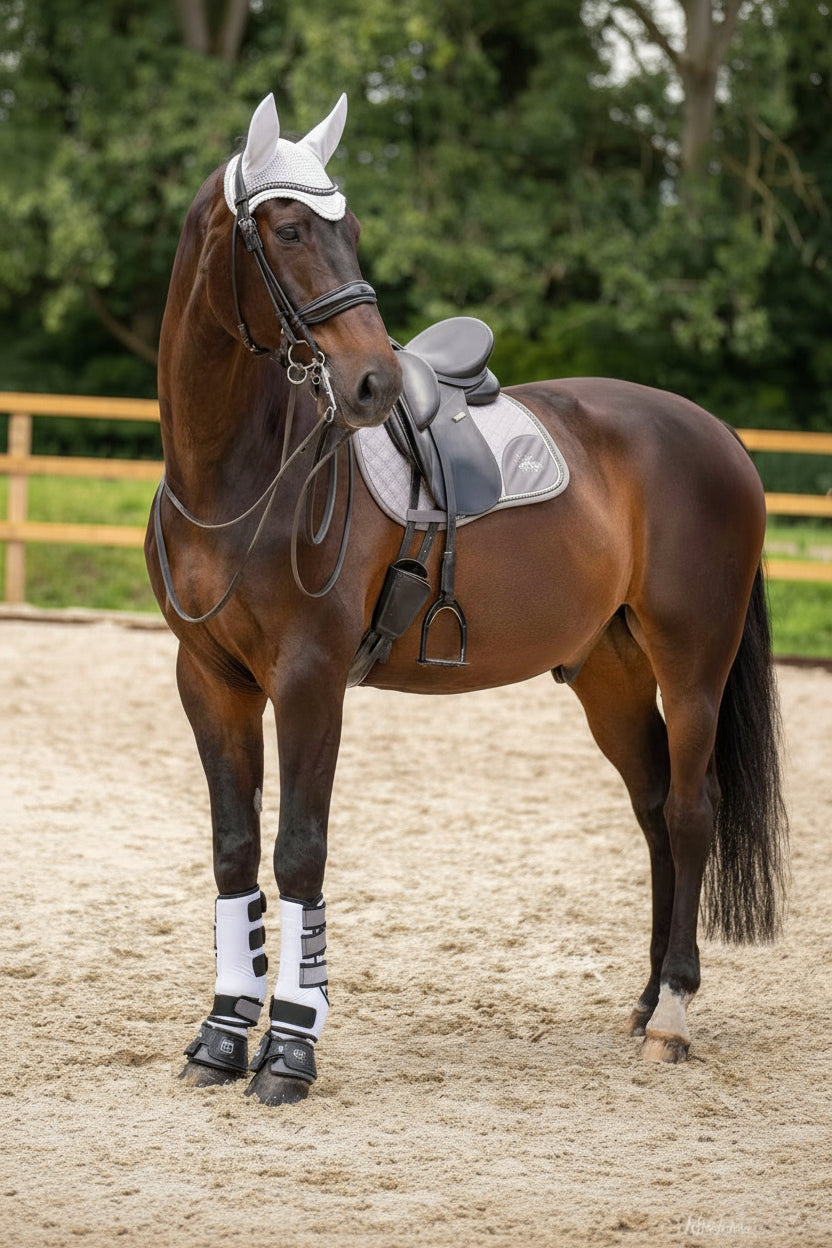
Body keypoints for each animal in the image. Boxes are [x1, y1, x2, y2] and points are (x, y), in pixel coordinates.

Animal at [145, 91, 788, 1107]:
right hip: (609, 673)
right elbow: (235, 852)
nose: (370, 382)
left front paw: (288, 1052)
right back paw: (647, 999)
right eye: (288, 229)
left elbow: (299, 851)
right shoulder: (208, 679)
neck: (236, 480)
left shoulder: (309, 680)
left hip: (695, 664)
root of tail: (716, 434)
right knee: (654, 812)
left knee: (692, 813)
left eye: (350, 231)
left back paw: (675, 1015)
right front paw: (219, 1037)